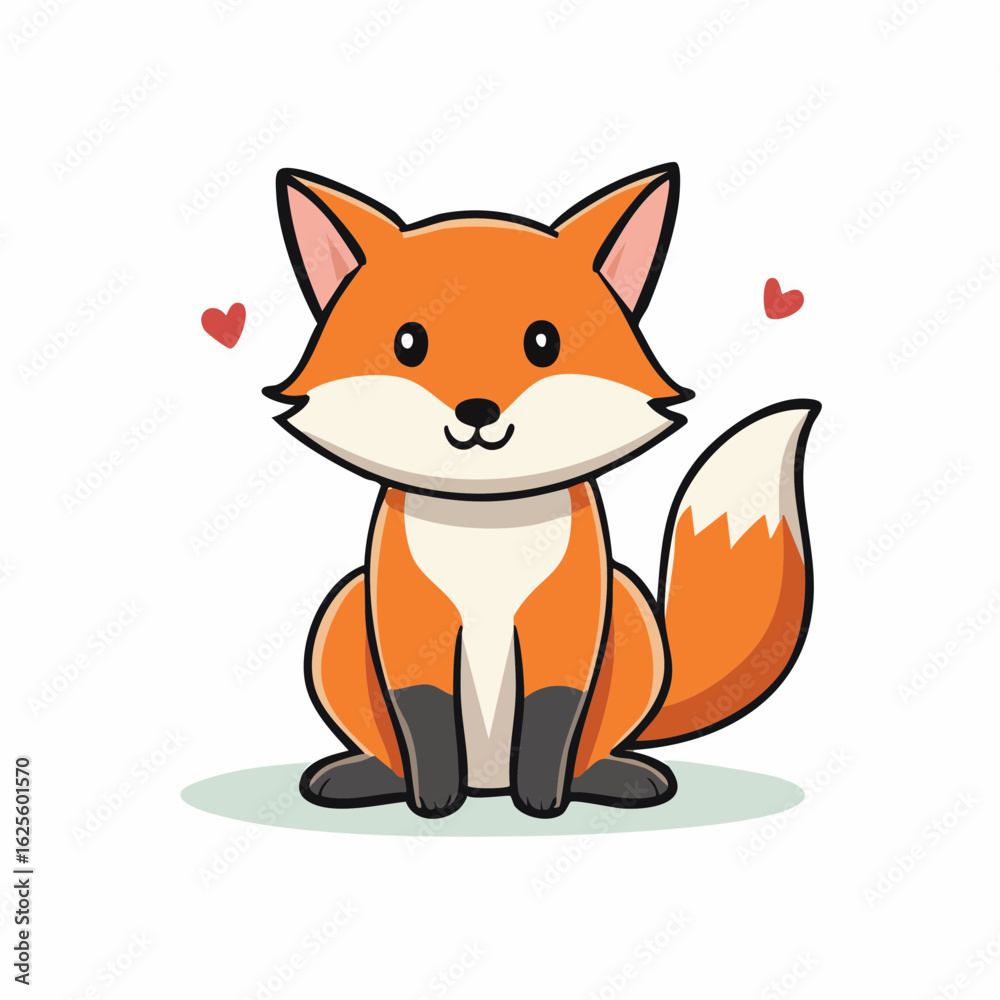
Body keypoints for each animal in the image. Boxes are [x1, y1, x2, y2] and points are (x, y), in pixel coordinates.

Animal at [265, 162, 819, 819]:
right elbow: (424, 717)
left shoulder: (569, 620)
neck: (487, 524)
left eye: (543, 343)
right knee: (390, 750)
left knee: (588, 752)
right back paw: (364, 778)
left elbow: (553, 716)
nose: (477, 410)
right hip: (346, 608)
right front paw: (434, 803)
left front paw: (542, 803)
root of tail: (489, 784)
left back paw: (615, 777)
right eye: (408, 344)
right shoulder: (408, 623)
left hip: (628, 608)